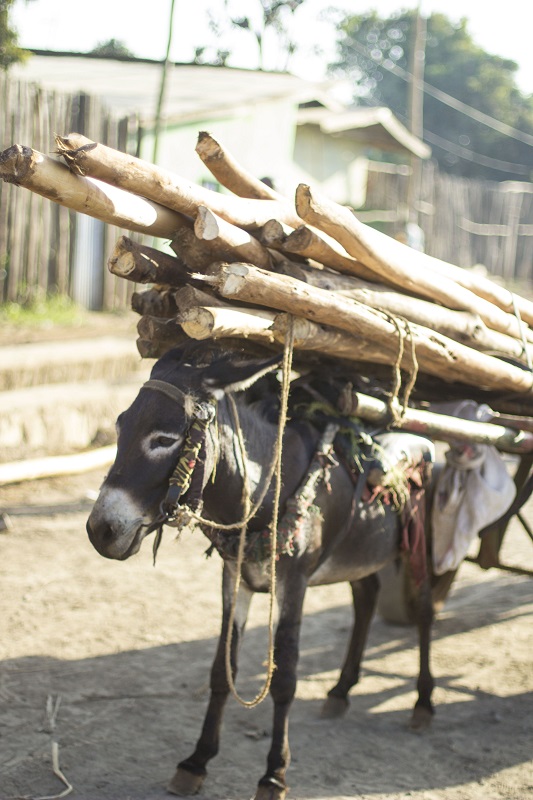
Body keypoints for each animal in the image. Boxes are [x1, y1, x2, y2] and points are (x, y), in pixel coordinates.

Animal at [86, 341, 437, 800]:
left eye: (164, 439)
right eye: (120, 424)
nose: (100, 530)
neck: (265, 493)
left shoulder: (294, 583)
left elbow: (284, 676)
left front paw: (274, 775)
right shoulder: (233, 577)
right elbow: (222, 669)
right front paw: (196, 762)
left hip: (421, 543)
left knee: (426, 611)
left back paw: (423, 703)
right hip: (364, 550)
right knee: (366, 598)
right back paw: (341, 691)